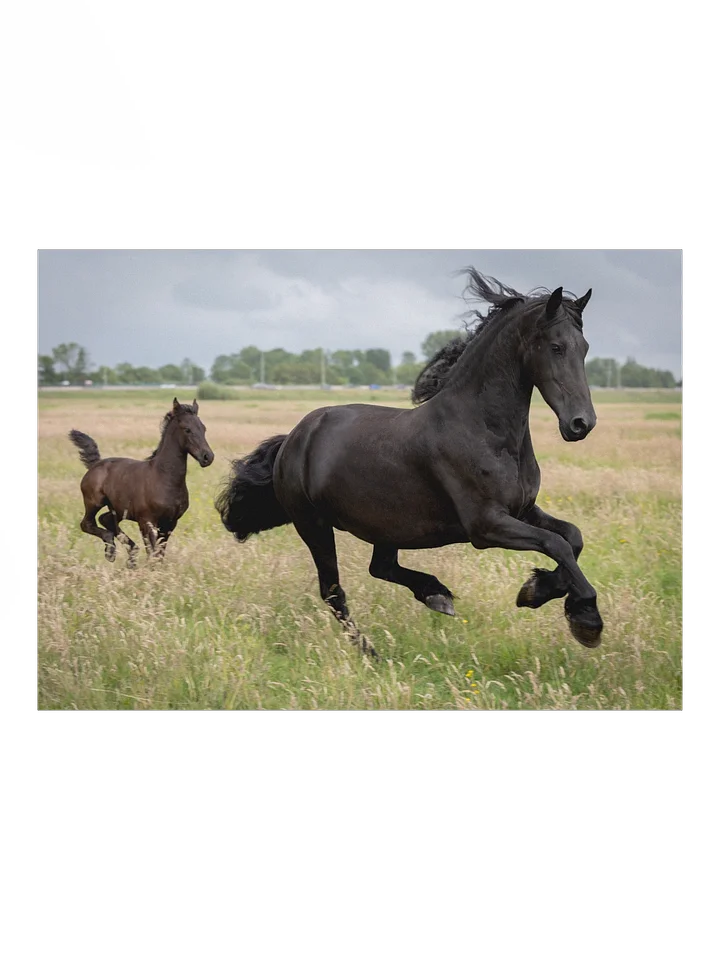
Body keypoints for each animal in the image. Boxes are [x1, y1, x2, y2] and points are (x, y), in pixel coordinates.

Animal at [69, 398, 214, 565]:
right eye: (187, 429)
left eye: (204, 428)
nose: (207, 457)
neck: (163, 477)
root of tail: (95, 464)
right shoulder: (146, 522)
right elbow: (152, 553)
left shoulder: (170, 523)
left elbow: (159, 554)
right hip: (94, 502)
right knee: (87, 523)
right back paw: (111, 550)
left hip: (118, 509)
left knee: (106, 519)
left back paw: (129, 554)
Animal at [216, 269, 603, 658]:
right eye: (556, 347)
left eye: (584, 348)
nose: (581, 424)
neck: (483, 430)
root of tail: (294, 439)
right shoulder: (486, 525)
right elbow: (556, 544)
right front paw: (585, 618)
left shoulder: (523, 509)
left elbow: (572, 537)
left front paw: (539, 591)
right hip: (315, 526)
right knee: (333, 592)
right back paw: (372, 653)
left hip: (385, 526)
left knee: (380, 568)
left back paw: (436, 594)